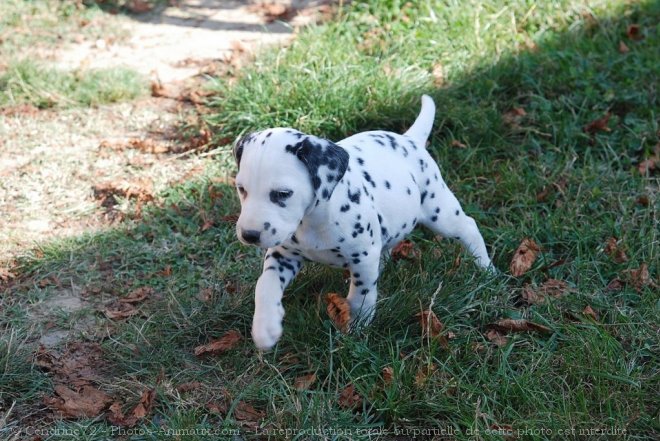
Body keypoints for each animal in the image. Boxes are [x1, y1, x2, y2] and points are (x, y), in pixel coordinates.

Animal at [232, 94, 490, 348]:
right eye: (241, 189)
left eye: (283, 193)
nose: (249, 235)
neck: (313, 221)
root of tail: (410, 139)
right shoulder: (283, 255)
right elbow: (265, 284)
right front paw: (265, 327)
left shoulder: (363, 257)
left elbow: (361, 294)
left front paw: (357, 326)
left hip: (440, 210)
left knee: (468, 227)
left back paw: (486, 269)